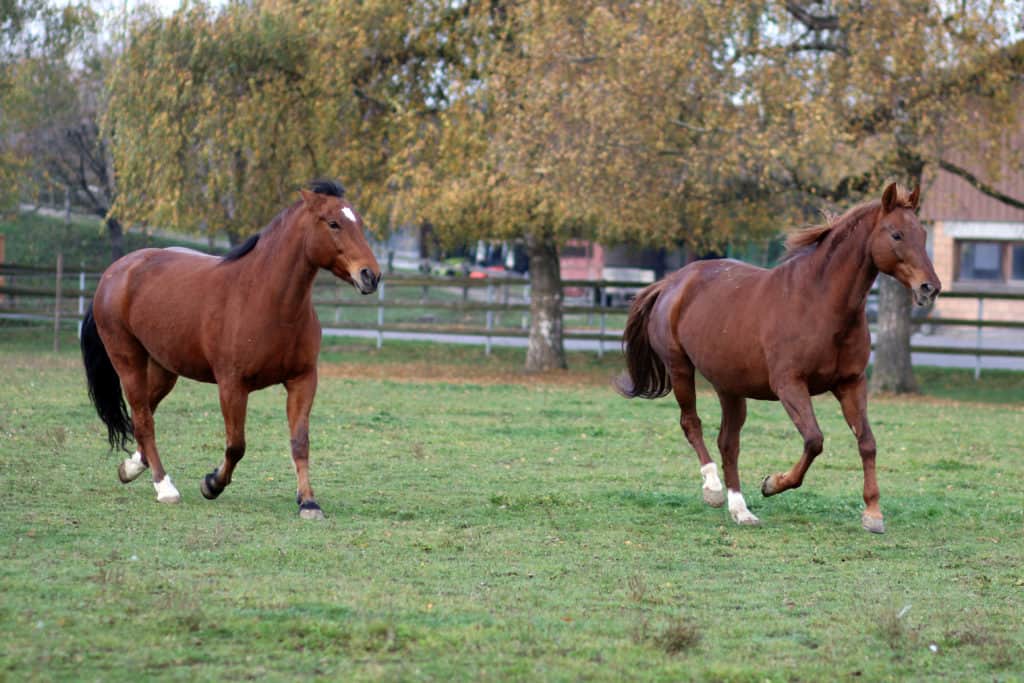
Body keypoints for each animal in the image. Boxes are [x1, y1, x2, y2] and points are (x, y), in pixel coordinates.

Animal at [81, 179, 381, 519]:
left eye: (359, 222)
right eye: (333, 223)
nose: (370, 275)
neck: (265, 299)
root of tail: (115, 272)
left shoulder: (302, 380)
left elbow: (299, 442)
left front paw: (308, 502)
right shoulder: (232, 386)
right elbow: (236, 445)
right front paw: (211, 484)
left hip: (164, 368)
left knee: (143, 411)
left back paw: (131, 468)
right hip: (128, 361)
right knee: (144, 419)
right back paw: (165, 488)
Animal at [616, 183, 940, 533]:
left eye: (923, 233)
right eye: (896, 234)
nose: (930, 288)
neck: (819, 303)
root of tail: (672, 282)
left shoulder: (851, 383)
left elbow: (867, 442)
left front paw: (873, 513)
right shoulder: (789, 385)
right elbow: (814, 440)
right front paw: (772, 483)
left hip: (730, 388)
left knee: (728, 443)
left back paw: (740, 510)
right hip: (680, 370)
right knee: (692, 424)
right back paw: (713, 489)